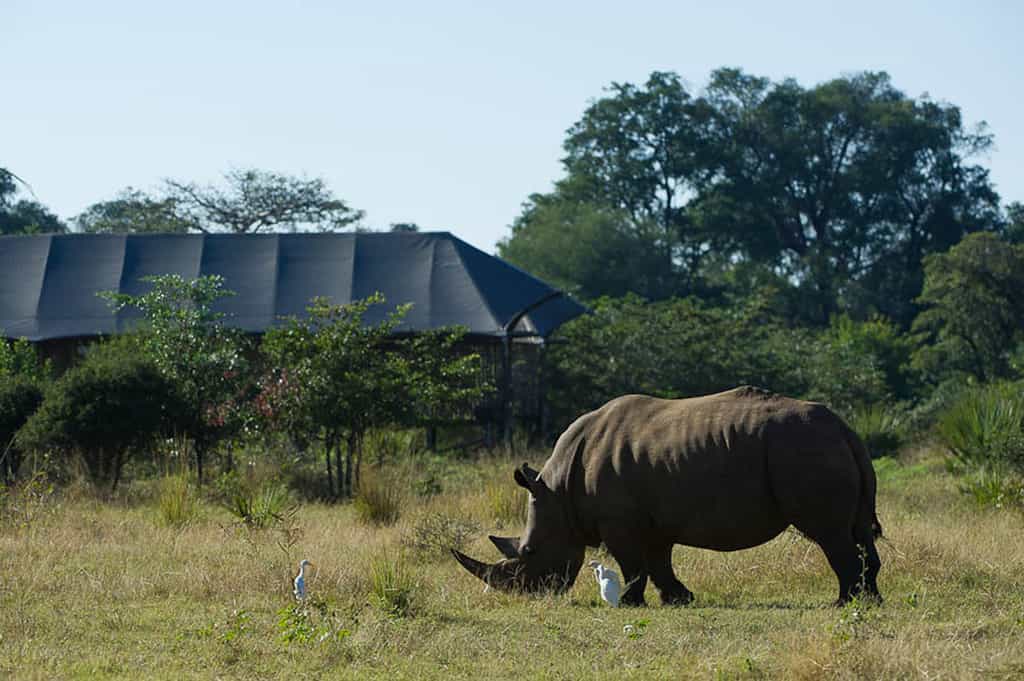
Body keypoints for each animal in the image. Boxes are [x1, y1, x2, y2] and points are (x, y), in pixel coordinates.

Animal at [452, 387, 883, 606]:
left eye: (528, 552)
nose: (531, 596)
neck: (558, 493)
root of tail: (844, 428)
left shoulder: (619, 522)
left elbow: (632, 563)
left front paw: (631, 603)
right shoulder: (653, 520)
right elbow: (658, 561)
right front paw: (680, 599)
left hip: (803, 450)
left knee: (829, 534)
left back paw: (844, 603)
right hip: (820, 446)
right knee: (857, 532)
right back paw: (870, 601)